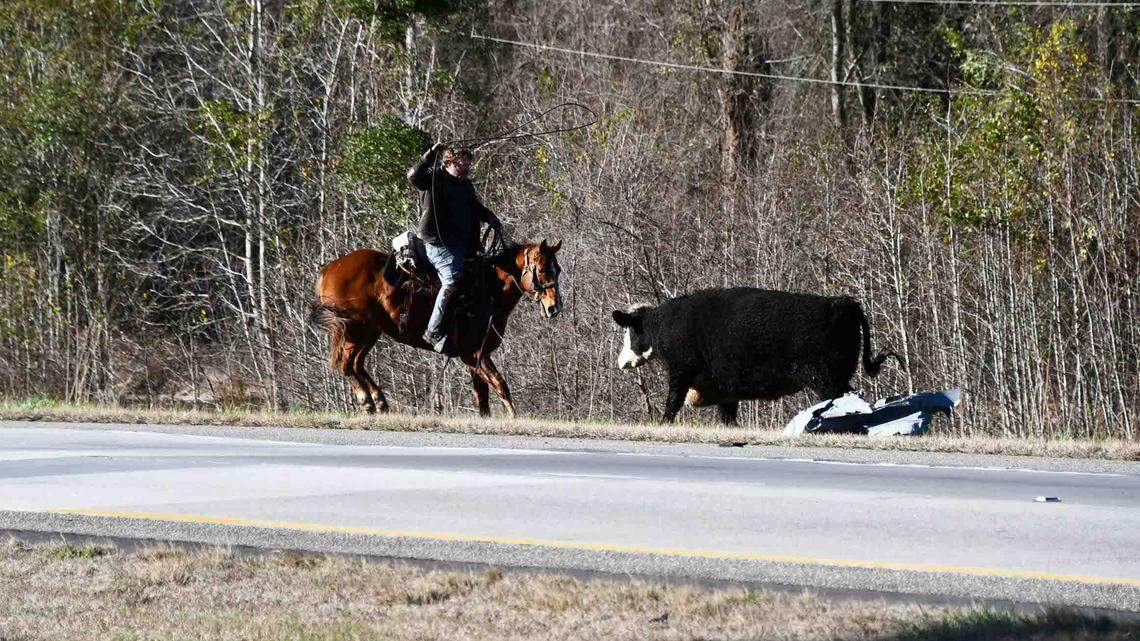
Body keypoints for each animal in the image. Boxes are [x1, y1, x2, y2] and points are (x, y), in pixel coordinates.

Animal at [611, 288, 903, 425]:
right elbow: (728, 416)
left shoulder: (681, 370)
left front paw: (663, 423)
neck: (664, 324)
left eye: (630, 332)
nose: (620, 362)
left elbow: (672, 402)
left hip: (827, 378)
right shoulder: (723, 385)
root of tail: (842, 302)